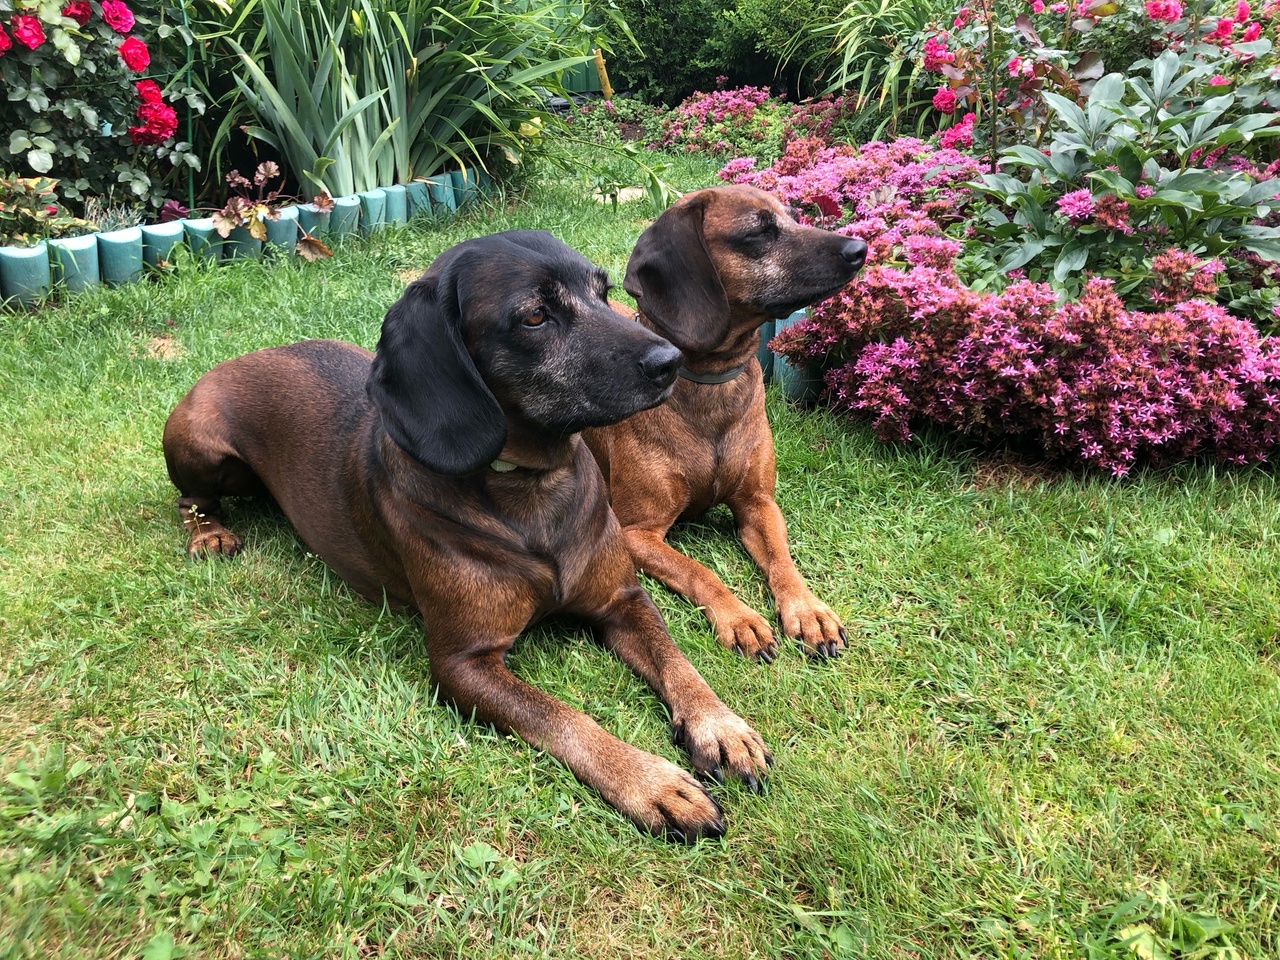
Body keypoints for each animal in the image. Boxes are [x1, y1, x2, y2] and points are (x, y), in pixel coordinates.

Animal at [162, 230, 770, 841]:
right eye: (534, 315)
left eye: (603, 292)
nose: (671, 361)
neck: (531, 492)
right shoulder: (462, 663)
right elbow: (562, 717)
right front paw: (651, 782)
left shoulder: (622, 599)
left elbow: (676, 661)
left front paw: (721, 726)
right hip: (201, 445)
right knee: (191, 501)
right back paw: (209, 536)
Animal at [584, 185, 867, 662]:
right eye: (759, 232)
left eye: (794, 217)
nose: (860, 248)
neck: (710, 384)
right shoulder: (636, 533)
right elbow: (698, 570)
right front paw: (740, 618)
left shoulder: (759, 504)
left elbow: (783, 561)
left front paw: (808, 610)